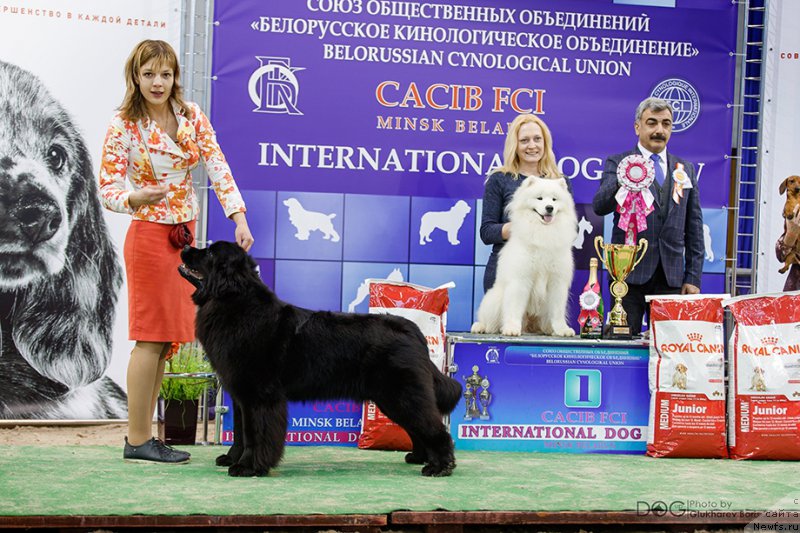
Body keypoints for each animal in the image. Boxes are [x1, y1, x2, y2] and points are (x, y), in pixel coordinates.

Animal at [178, 239, 460, 476]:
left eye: (210, 253)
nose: (186, 246)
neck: (233, 302)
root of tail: (412, 329)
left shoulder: (258, 395)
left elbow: (253, 434)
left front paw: (248, 467)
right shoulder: (240, 396)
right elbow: (239, 432)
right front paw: (232, 458)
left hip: (401, 393)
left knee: (433, 427)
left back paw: (439, 466)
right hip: (393, 396)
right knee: (417, 426)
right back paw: (420, 457)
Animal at [472, 176, 580, 336]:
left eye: (554, 199)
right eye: (539, 198)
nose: (549, 208)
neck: (543, 231)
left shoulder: (557, 282)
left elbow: (557, 311)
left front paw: (562, 329)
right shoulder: (520, 280)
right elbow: (514, 309)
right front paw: (511, 328)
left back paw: (550, 330)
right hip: (494, 300)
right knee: (489, 321)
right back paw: (480, 327)